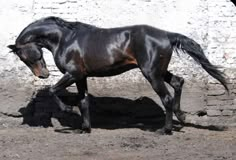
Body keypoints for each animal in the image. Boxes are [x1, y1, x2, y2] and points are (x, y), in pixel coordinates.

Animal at [7, 16, 229, 134]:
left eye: (27, 55)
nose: (42, 75)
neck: (65, 39)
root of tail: (167, 35)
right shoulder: (81, 77)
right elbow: (84, 101)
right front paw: (84, 129)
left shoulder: (73, 73)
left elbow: (53, 90)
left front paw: (69, 110)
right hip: (158, 71)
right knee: (178, 82)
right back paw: (181, 116)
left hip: (151, 73)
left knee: (166, 97)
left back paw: (165, 130)